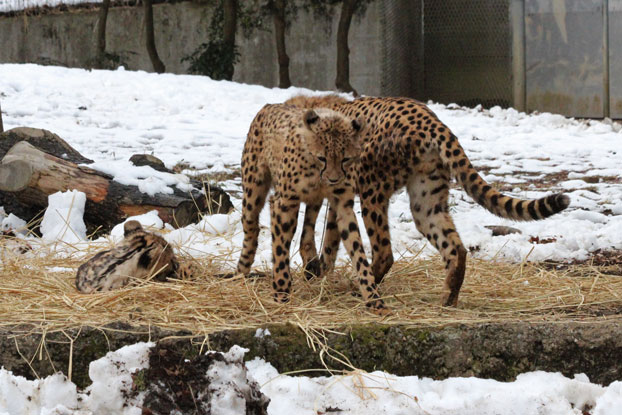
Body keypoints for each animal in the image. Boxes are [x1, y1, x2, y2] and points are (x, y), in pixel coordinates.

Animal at [238, 104, 390, 316]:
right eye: (322, 158)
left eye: (345, 159)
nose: (333, 179)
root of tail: (269, 106)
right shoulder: (284, 203)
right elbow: (280, 249)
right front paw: (281, 292)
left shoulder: (342, 206)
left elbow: (358, 251)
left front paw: (374, 298)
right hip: (254, 190)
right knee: (251, 228)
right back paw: (241, 271)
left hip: (315, 201)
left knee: (307, 231)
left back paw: (311, 263)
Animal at [286, 96, 572, 308]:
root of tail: (430, 120)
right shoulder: (337, 196)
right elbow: (331, 235)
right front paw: (321, 273)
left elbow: (317, 232)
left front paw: (315, 271)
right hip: (426, 201)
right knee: (455, 248)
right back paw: (448, 297)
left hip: (372, 192)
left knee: (385, 253)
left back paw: (363, 289)